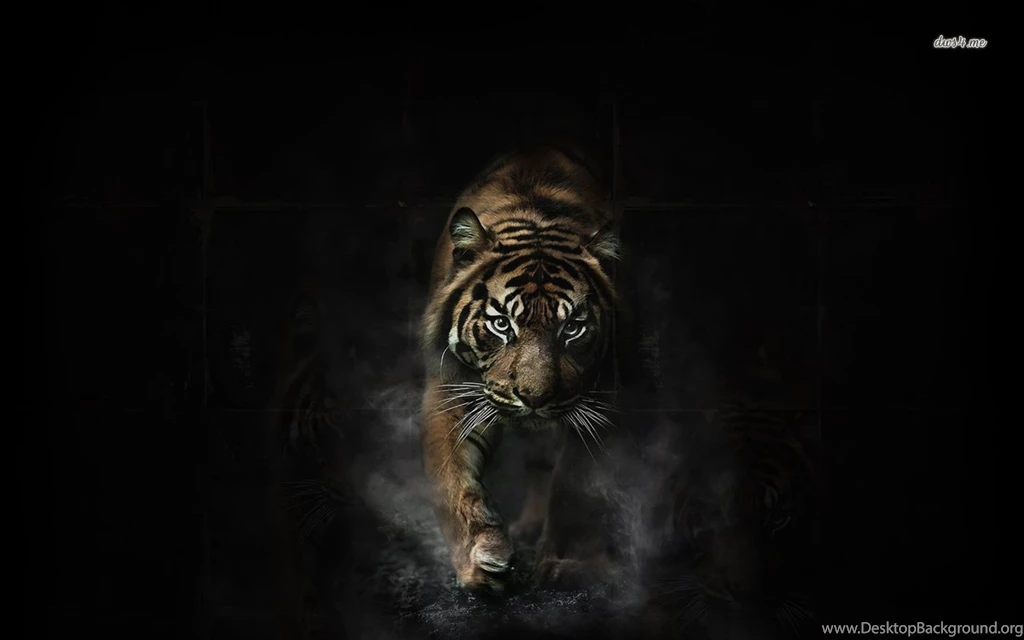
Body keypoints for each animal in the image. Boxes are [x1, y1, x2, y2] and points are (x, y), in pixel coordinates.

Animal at [419, 142, 623, 594]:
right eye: (501, 324)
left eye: (572, 327)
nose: (534, 397)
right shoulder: (452, 390)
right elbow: (453, 481)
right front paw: (480, 561)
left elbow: (573, 485)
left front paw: (564, 563)